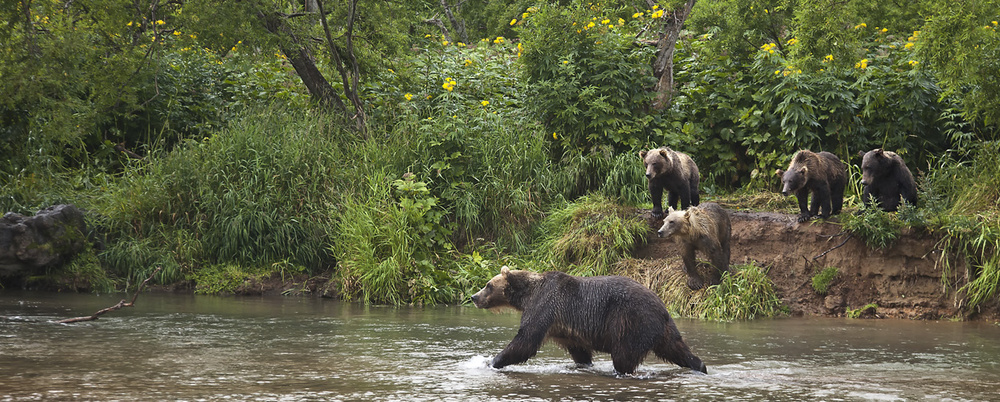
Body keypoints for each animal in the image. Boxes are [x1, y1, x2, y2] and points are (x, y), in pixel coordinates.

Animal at [472, 266, 708, 376]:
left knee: (624, 358)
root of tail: (662, 306)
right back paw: (700, 366)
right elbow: (580, 352)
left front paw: (490, 361)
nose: (474, 297)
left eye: (488, 285)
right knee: (677, 348)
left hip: (630, 321)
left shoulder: (545, 307)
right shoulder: (566, 329)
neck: (528, 294)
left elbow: (525, 341)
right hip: (663, 328)